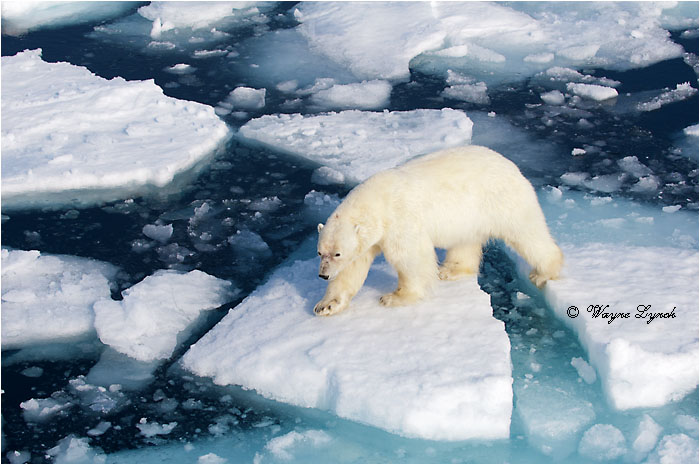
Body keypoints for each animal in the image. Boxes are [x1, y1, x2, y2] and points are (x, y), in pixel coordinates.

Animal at [314, 145, 563, 316]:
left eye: (337, 253)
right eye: (320, 252)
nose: (323, 275)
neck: (377, 202)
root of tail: (512, 165)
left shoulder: (400, 220)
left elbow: (410, 258)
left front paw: (395, 297)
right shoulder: (369, 237)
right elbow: (352, 268)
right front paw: (326, 305)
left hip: (504, 200)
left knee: (526, 232)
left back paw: (543, 272)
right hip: (470, 215)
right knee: (465, 241)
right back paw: (450, 270)